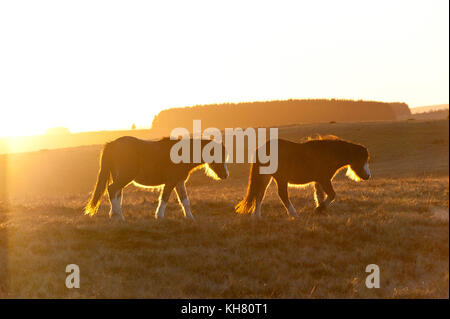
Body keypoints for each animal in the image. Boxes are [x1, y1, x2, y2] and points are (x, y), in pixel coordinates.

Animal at [83, 136, 229, 221]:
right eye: (218, 155)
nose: (225, 175)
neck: (181, 154)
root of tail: (112, 144)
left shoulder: (179, 182)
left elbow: (185, 200)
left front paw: (190, 217)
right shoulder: (170, 182)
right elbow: (164, 198)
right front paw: (159, 216)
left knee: (117, 193)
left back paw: (115, 214)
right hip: (125, 176)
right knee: (112, 189)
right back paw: (118, 216)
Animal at [236, 136, 370, 219]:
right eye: (362, 159)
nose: (368, 176)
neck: (328, 154)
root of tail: (262, 148)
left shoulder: (318, 181)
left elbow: (319, 195)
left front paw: (320, 210)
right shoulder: (324, 179)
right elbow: (332, 195)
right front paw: (319, 209)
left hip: (266, 177)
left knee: (259, 194)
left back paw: (257, 216)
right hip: (281, 178)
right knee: (282, 195)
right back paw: (294, 215)